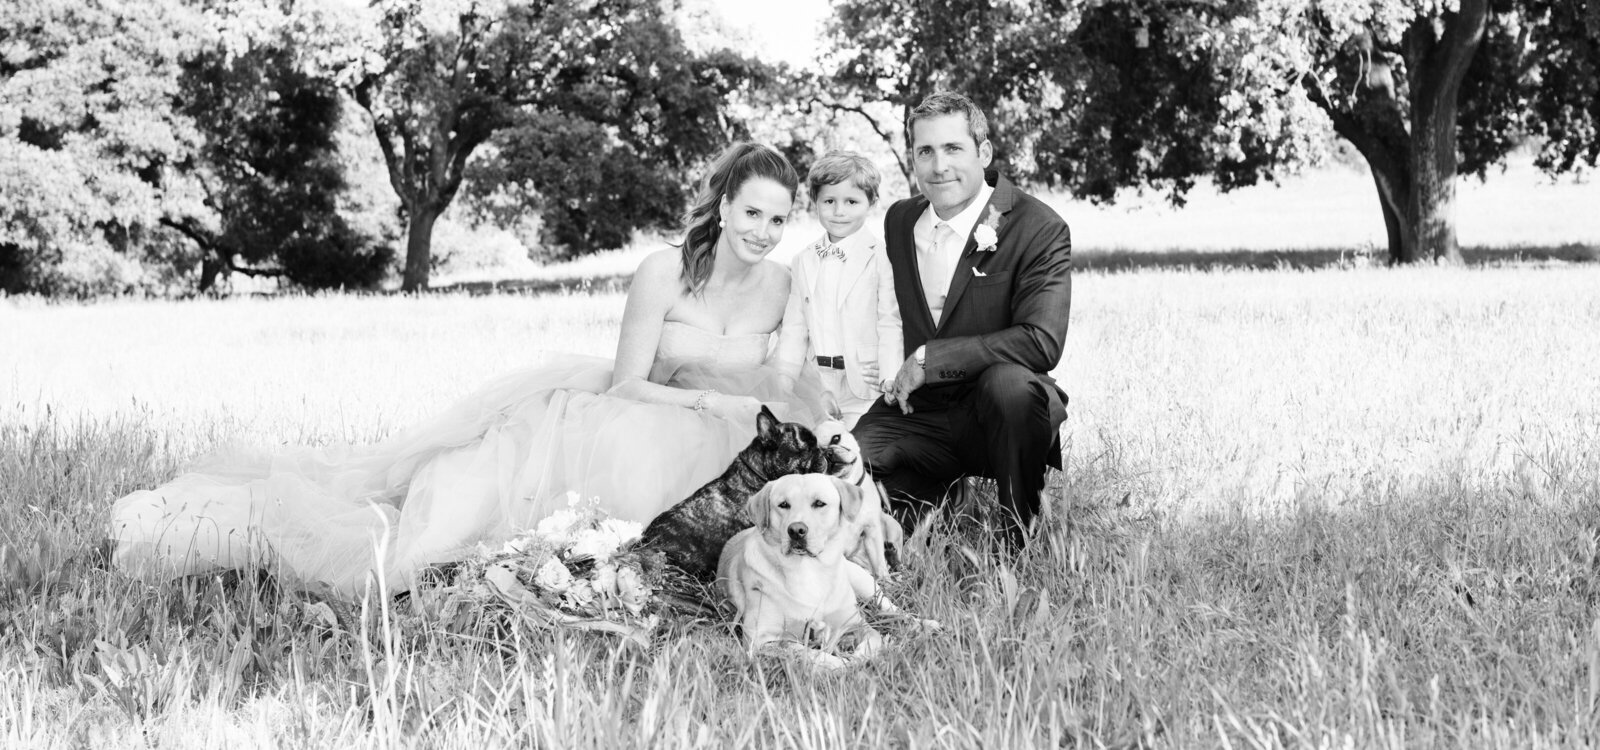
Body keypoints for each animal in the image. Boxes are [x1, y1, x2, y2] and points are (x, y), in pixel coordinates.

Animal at [720, 473, 934, 665]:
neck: (808, 568)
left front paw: (862, 656)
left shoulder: (856, 622)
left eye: (819, 503)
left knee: (893, 609)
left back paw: (926, 624)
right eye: (783, 505)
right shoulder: (760, 640)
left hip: (866, 584)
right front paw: (842, 664)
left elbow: (874, 638)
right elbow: (806, 653)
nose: (796, 530)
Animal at [812, 415, 902, 578]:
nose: (827, 453)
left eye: (836, 438)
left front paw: (885, 578)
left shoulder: (872, 532)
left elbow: (879, 562)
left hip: (892, 526)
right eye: (815, 456)